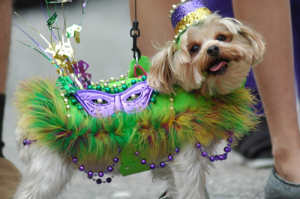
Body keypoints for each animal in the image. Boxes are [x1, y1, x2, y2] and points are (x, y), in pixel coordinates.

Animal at [14, 13, 264, 198]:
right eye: (194, 48)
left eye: (222, 37)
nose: (213, 49)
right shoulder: (187, 160)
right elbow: (192, 192)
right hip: (50, 171)